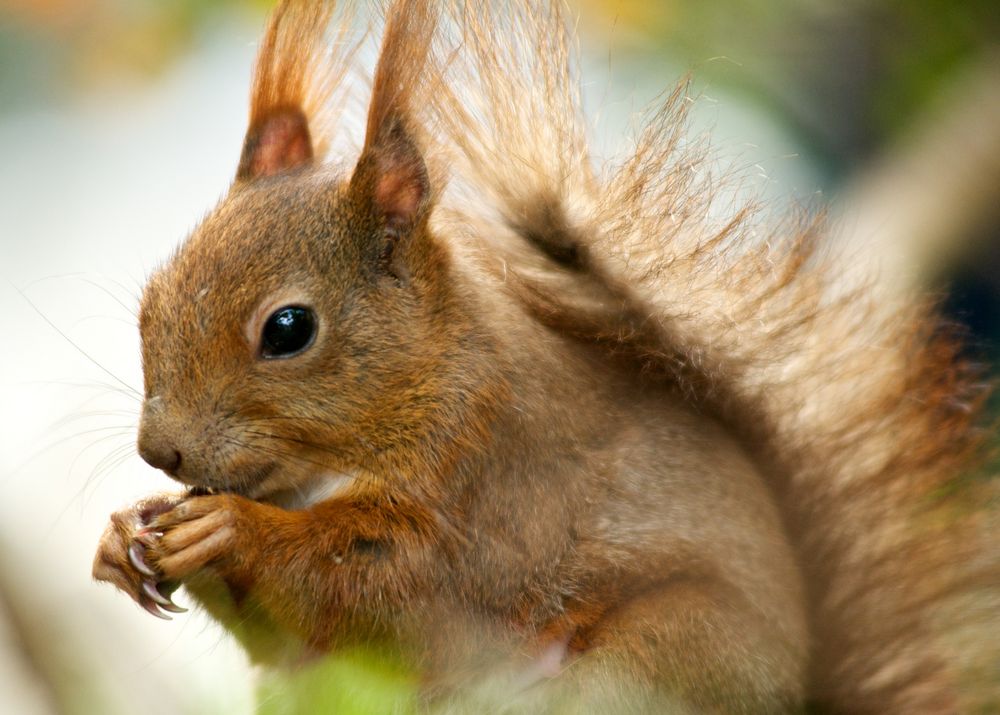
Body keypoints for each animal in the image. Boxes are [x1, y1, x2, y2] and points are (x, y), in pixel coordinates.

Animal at [92, 2, 992, 712]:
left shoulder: (489, 486)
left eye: (287, 329)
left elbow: (381, 591)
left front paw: (230, 528)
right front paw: (125, 534)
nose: (160, 450)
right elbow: (286, 638)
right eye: (150, 298)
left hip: (659, 659)